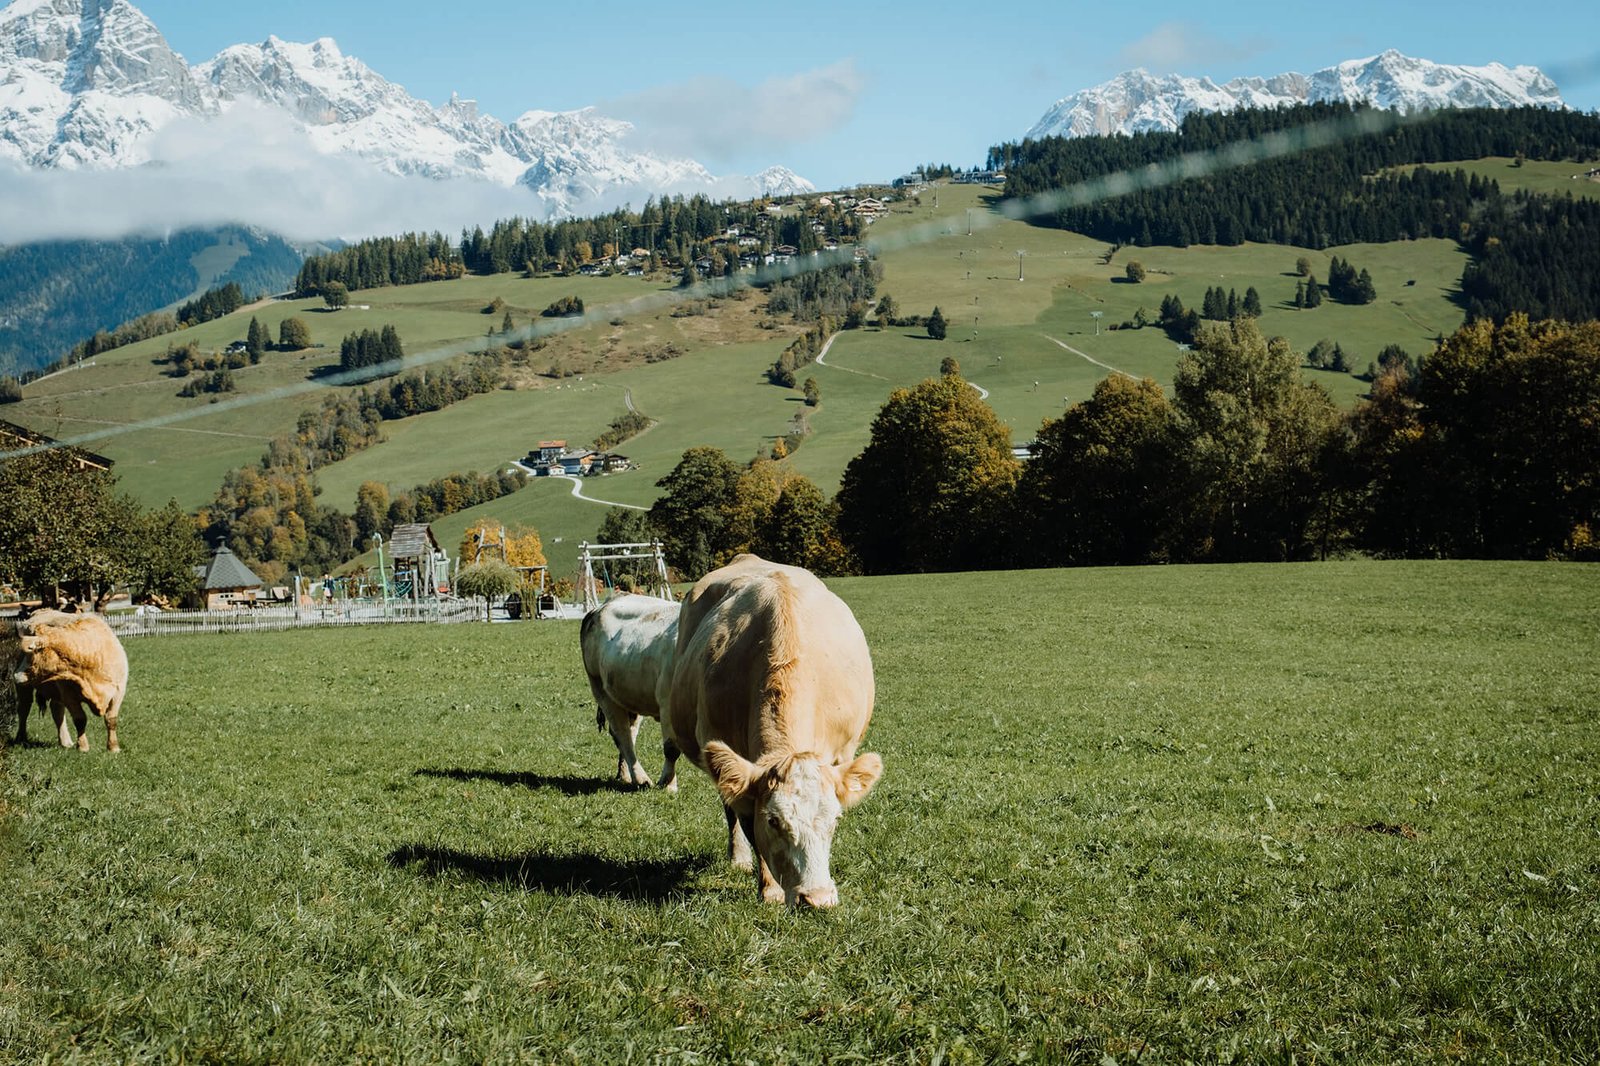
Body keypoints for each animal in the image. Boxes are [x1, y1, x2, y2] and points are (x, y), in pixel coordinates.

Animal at [11, 611, 128, 752]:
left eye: (32, 653)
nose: (16, 675)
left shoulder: (118, 693)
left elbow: (111, 720)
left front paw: (113, 747)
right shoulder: (69, 696)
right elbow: (80, 719)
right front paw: (83, 747)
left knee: (57, 711)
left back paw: (65, 742)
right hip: (25, 688)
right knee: (24, 709)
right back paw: (21, 738)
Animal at [582, 592, 681, 784]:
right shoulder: (667, 701)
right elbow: (672, 749)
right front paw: (668, 784)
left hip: (630, 696)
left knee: (630, 732)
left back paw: (625, 775)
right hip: (601, 690)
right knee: (622, 735)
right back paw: (641, 778)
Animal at [665, 550, 889, 909]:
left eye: (836, 820)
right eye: (773, 821)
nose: (818, 899)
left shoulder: (843, 753)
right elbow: (749, 828)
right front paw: (768, 889)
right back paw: (738, 858)